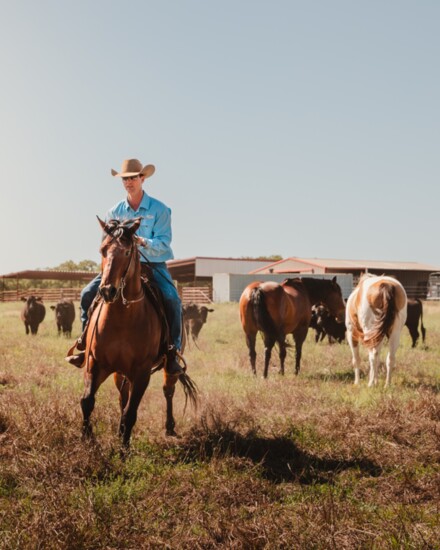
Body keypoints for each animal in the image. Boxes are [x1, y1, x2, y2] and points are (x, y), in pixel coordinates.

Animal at [78, 217, 197, 448]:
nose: (107, 291)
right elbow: (87, 401)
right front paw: (88, 440)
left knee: (168, 391)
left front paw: (124, 449)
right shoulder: (94, 363)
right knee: (123, 396)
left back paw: (169, 427)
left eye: (126, 252)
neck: (122, 318)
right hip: (119, 372)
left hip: (168, 367)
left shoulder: (141, 373)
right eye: (103, 250)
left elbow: (130, 413)